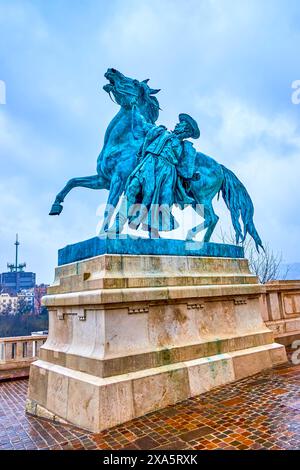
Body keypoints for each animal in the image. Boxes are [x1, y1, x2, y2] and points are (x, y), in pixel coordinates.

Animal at [50, 68, 264, 250]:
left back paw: (192, 239)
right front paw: (56, 205)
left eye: (135, 82)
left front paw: (105, 233)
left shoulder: (118, 179)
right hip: (196, 200)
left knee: (212, 217)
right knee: (214, 218)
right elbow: (72, 181)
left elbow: (109, 206)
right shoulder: (103, 179)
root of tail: (219, 166)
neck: (126, 138)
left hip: (201, 196)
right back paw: (202, 242)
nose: (111, 70)